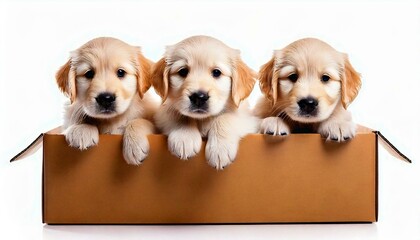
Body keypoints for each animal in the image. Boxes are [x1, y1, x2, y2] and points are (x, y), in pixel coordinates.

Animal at [55, 37, 158, 165]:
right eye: (89, 73)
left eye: (121, 72)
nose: (105, 99)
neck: (111, 120)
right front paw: (82, 128)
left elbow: (140, 121)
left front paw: (135, 145)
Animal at [153, 35, 258, 170]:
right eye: (183, 71)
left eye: (217, 72)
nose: (199, 97)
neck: (202, 119)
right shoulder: (162, 112)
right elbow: (178, 114)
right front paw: (185, 137)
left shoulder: (248, 119)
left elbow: (225, 118)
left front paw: (220, 149)